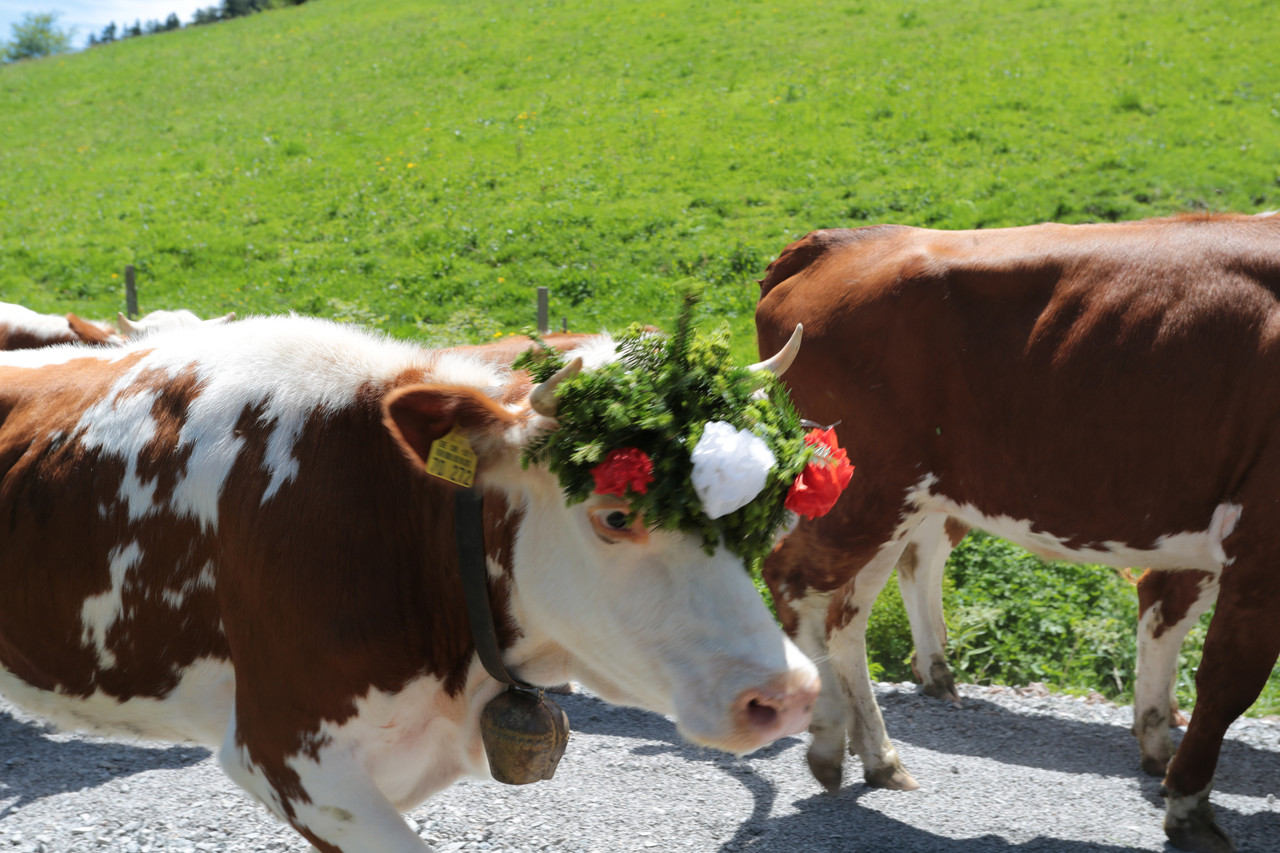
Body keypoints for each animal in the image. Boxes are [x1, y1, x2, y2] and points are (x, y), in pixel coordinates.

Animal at [755, 212, 1280, 853]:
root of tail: (844, 240)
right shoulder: (1264, 546)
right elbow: (1228, 681)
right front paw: (1189, 807)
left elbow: (1169, 614)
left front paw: (1159, 747)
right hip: (864, 485)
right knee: (793, 579)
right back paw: (832, 737)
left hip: (893, 498)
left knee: (844, 614)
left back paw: (879, 754)